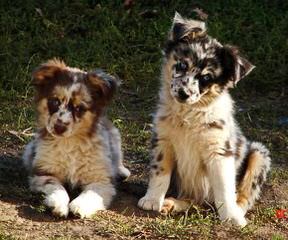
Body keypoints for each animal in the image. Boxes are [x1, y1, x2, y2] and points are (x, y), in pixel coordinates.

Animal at [23, 59, 130, 218]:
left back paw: (122, 171)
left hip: (115, 136)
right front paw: (58, 205)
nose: (59, 127)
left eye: (79, 108)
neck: (69, 142)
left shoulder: (101, 180)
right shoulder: (43, 173)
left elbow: (91, 193)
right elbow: (57, 188)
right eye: (54, 101)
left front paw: (80, 206)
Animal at [138, 13, 272, 227]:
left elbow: (224, 188)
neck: (188, 114)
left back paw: (237, 212)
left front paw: (231, 217)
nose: (184, 93)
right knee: (194, 200)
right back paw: (171, 204)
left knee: (243, 196)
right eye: (182, 65)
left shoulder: (220, 151)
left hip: (259, 154)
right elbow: (160, 173)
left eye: (206, 78)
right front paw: (152, 200)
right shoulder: (163, 140)